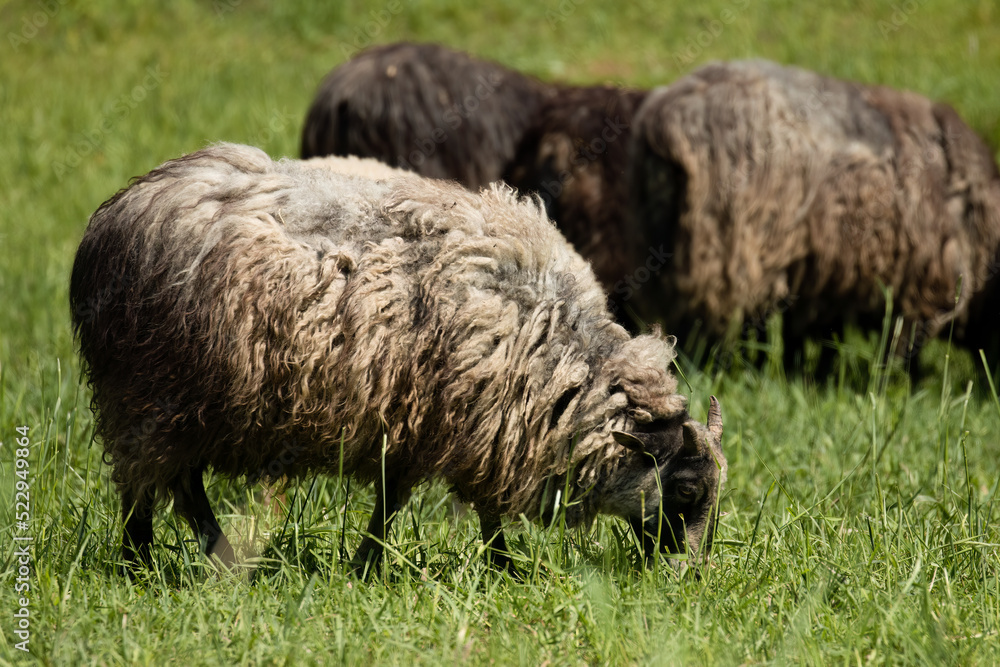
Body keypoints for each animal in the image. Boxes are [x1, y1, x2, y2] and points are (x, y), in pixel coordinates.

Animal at [70, 143, 727, 577]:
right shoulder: (462, 421)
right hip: (150, 391)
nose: (691, 578)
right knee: (151, 486)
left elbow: (409, 502)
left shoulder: (435, 424)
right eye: (686, 490)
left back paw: (206, 561)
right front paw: (499, 569)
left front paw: (382, 564)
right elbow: (451, 506)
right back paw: (149, 564)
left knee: (173, 483)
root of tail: (118, 209)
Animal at [630, 59, 1000, 374]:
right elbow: (902, 346)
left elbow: (816, 336)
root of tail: (666, 116)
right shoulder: (920, 284)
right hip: (724, 253)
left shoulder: (827, 277)